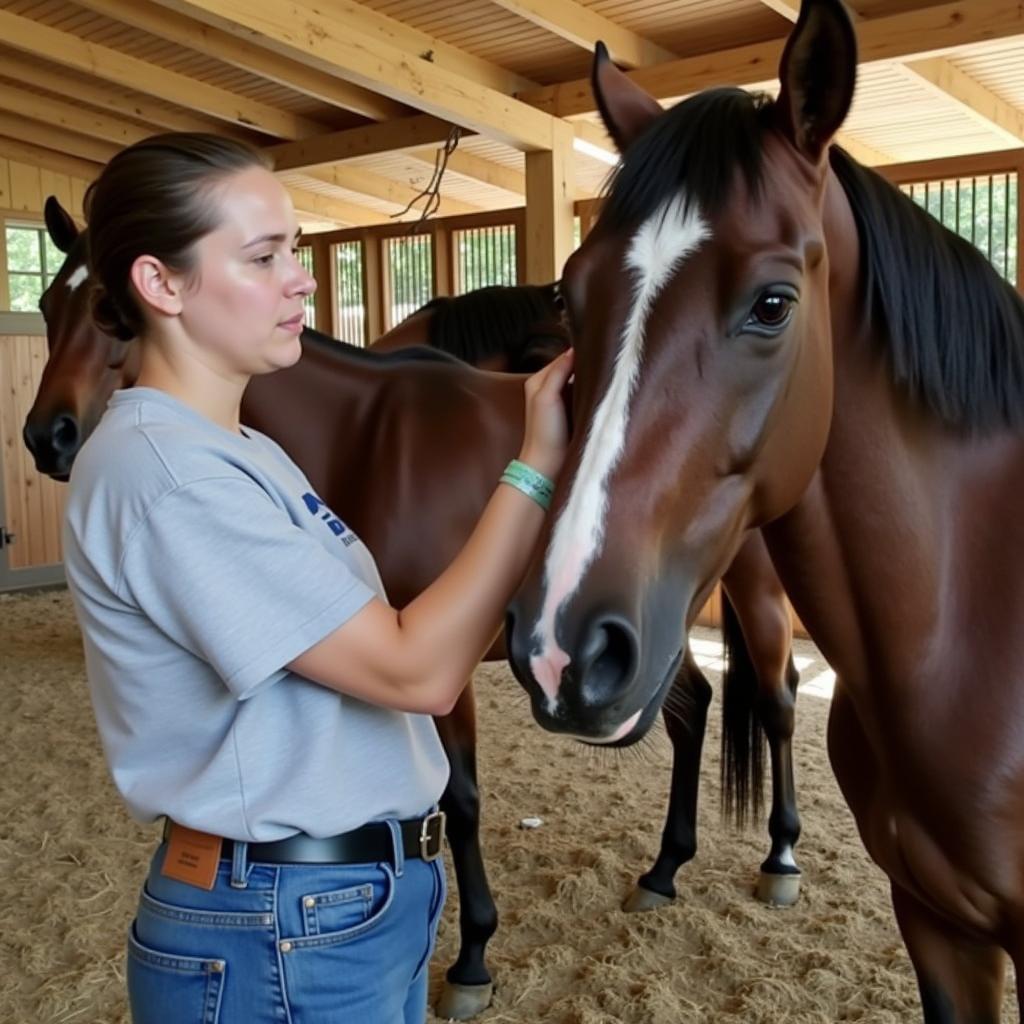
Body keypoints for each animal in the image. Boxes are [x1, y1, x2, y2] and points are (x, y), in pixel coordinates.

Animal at [25, 197, 798, 1015]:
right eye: (45, 307)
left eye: (107, 309)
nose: (48, 436)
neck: (368, 441)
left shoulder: (446, 675)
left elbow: (459, 802)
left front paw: (472, 959)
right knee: (693, 709)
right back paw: (664, 869)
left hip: (740, 601)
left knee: (777, 701)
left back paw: (780, 856)